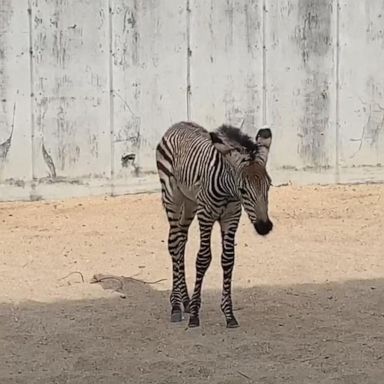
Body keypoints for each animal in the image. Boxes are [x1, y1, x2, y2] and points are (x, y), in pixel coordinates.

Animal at [156, 121, 272, 328]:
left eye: (268, 186)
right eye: (243, 190)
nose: (264, 227)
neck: (229, 191)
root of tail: (178, 124)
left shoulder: (231, 217)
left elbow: (228, 259)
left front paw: (229, 314)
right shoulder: (206, 215)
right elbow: (203, 259)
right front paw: (195, 315)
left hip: (190, 203)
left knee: (181, 241)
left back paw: (185, 301)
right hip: (172, 198)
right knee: (174, 244)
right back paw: (176, 306)